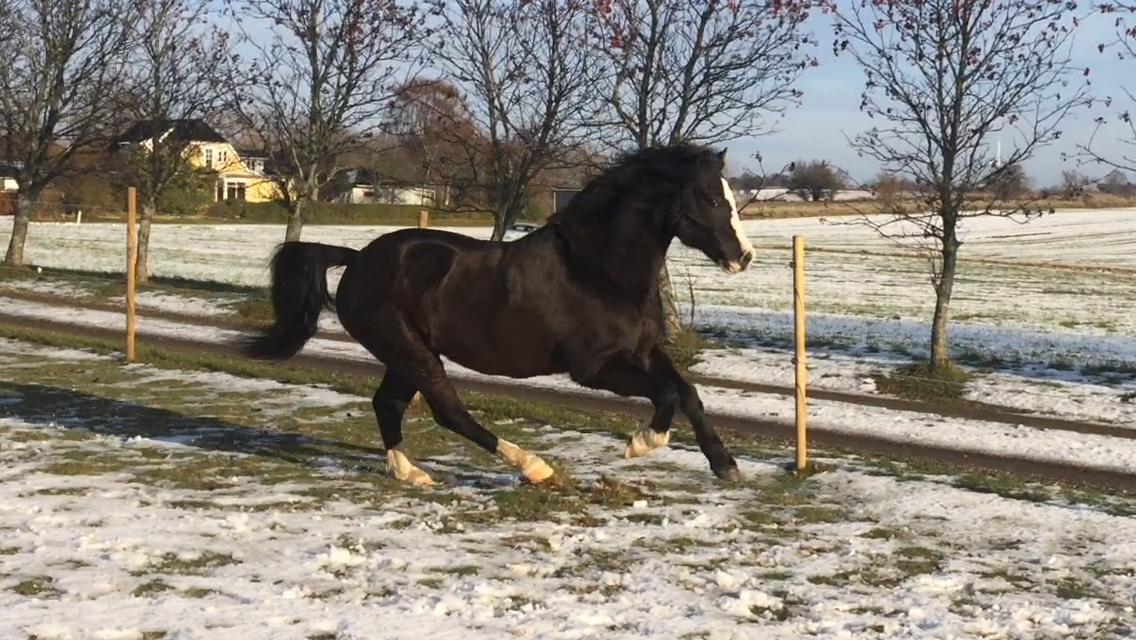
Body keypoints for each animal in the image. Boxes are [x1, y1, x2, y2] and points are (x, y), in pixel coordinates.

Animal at [242, 144, 755, 486]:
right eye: (712, 199)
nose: (744, 257)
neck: (598, 268)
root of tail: (356, 260)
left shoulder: (644, 350)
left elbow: (688, 392)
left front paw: (725, 465)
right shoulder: (595, 369)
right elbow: (666, 394)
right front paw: (642, 444)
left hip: (408, 354)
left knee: (388, 405)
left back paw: (411, 474)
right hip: (410, 352)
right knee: (449, 412)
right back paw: (533, 467)